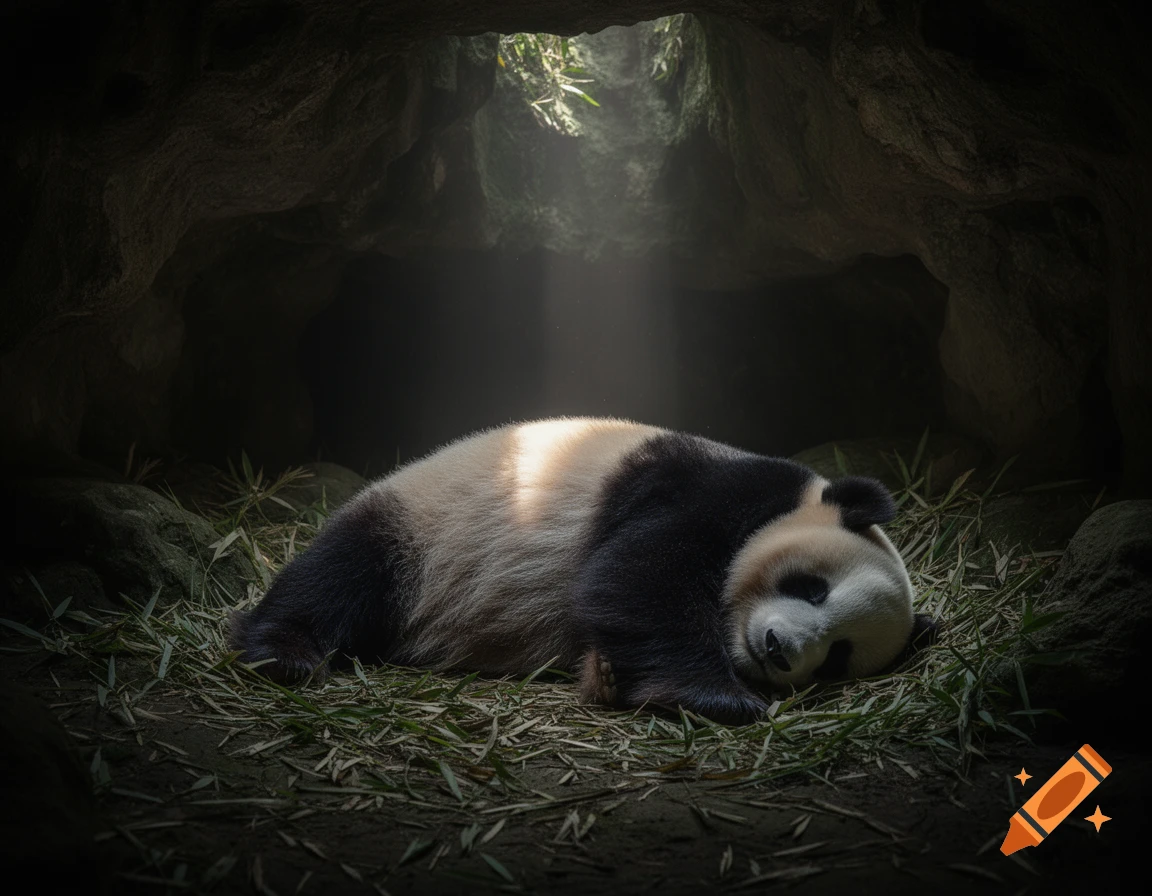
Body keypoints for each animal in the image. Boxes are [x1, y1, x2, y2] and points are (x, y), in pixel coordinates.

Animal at [229, 417, 936, 725]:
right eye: (809, 588)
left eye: (839, 656)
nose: (779, 649)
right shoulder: (708, 488)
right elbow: (640, 573)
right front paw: (718, 696)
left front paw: (608, 676)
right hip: (423, 528)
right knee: (341, 572)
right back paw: (283, 652)